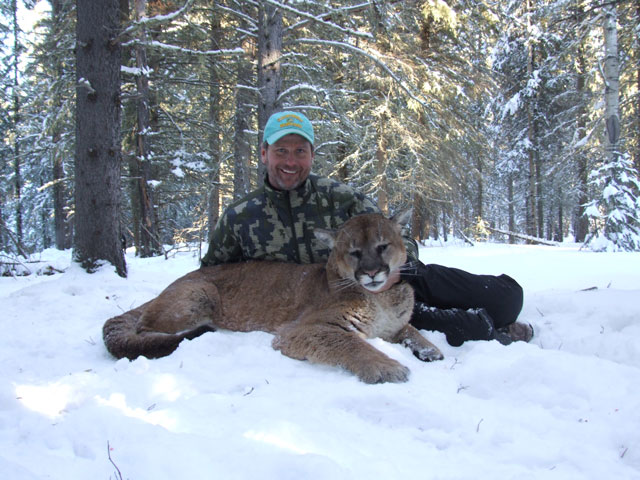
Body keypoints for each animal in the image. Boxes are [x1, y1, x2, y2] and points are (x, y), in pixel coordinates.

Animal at [105, 212, 444, 384]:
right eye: (354, 252)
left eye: (382, 246)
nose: (373, 272)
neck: (382, 298)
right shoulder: (303, 329)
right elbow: (352, 343)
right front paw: (386, 367)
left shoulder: (393, 325)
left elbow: (412, 330)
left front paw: (430, 349)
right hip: (200, 293)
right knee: (146, 330)